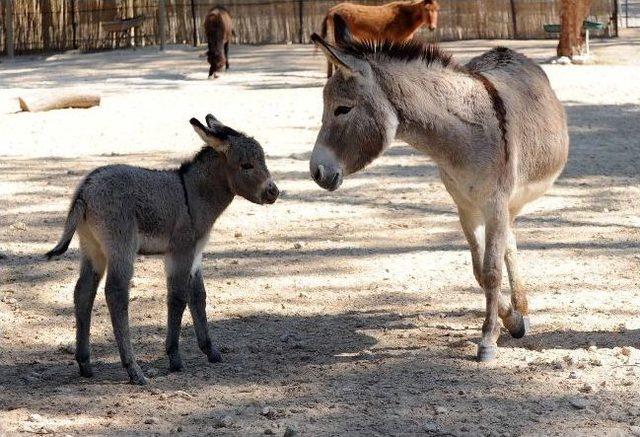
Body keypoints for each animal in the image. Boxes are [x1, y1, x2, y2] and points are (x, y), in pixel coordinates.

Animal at [47, 114, 278, 384]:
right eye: (246, 165)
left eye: (262, 160)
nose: (274, 192)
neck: (193, 193)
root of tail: (85, 190)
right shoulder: (181, 252)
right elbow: (177, 297)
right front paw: (174, 357)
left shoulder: (196, 254)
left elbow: (198, 296)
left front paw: (211, 351)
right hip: (120, 247)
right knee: (116, 293)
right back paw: (133, 369)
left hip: (93, 248)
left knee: (83, 292)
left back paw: (85, 364)